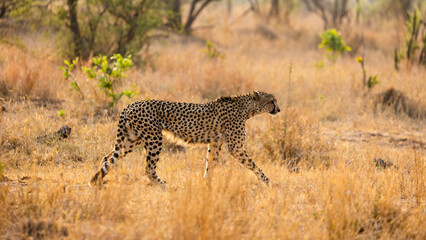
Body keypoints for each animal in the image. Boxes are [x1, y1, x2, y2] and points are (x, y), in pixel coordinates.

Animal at [90, 91, 280, 187]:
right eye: (272, 100)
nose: (278, 109)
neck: (247, 108)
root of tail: (131, 104)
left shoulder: (215, 143)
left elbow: (210, 165)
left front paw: (206, 185)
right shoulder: (236, 147)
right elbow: (254, 166)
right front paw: (269, 183)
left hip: (131, 140)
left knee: (107, 158)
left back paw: (98, 182)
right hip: (154, 139)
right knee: (149, 169)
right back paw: (166, 186)